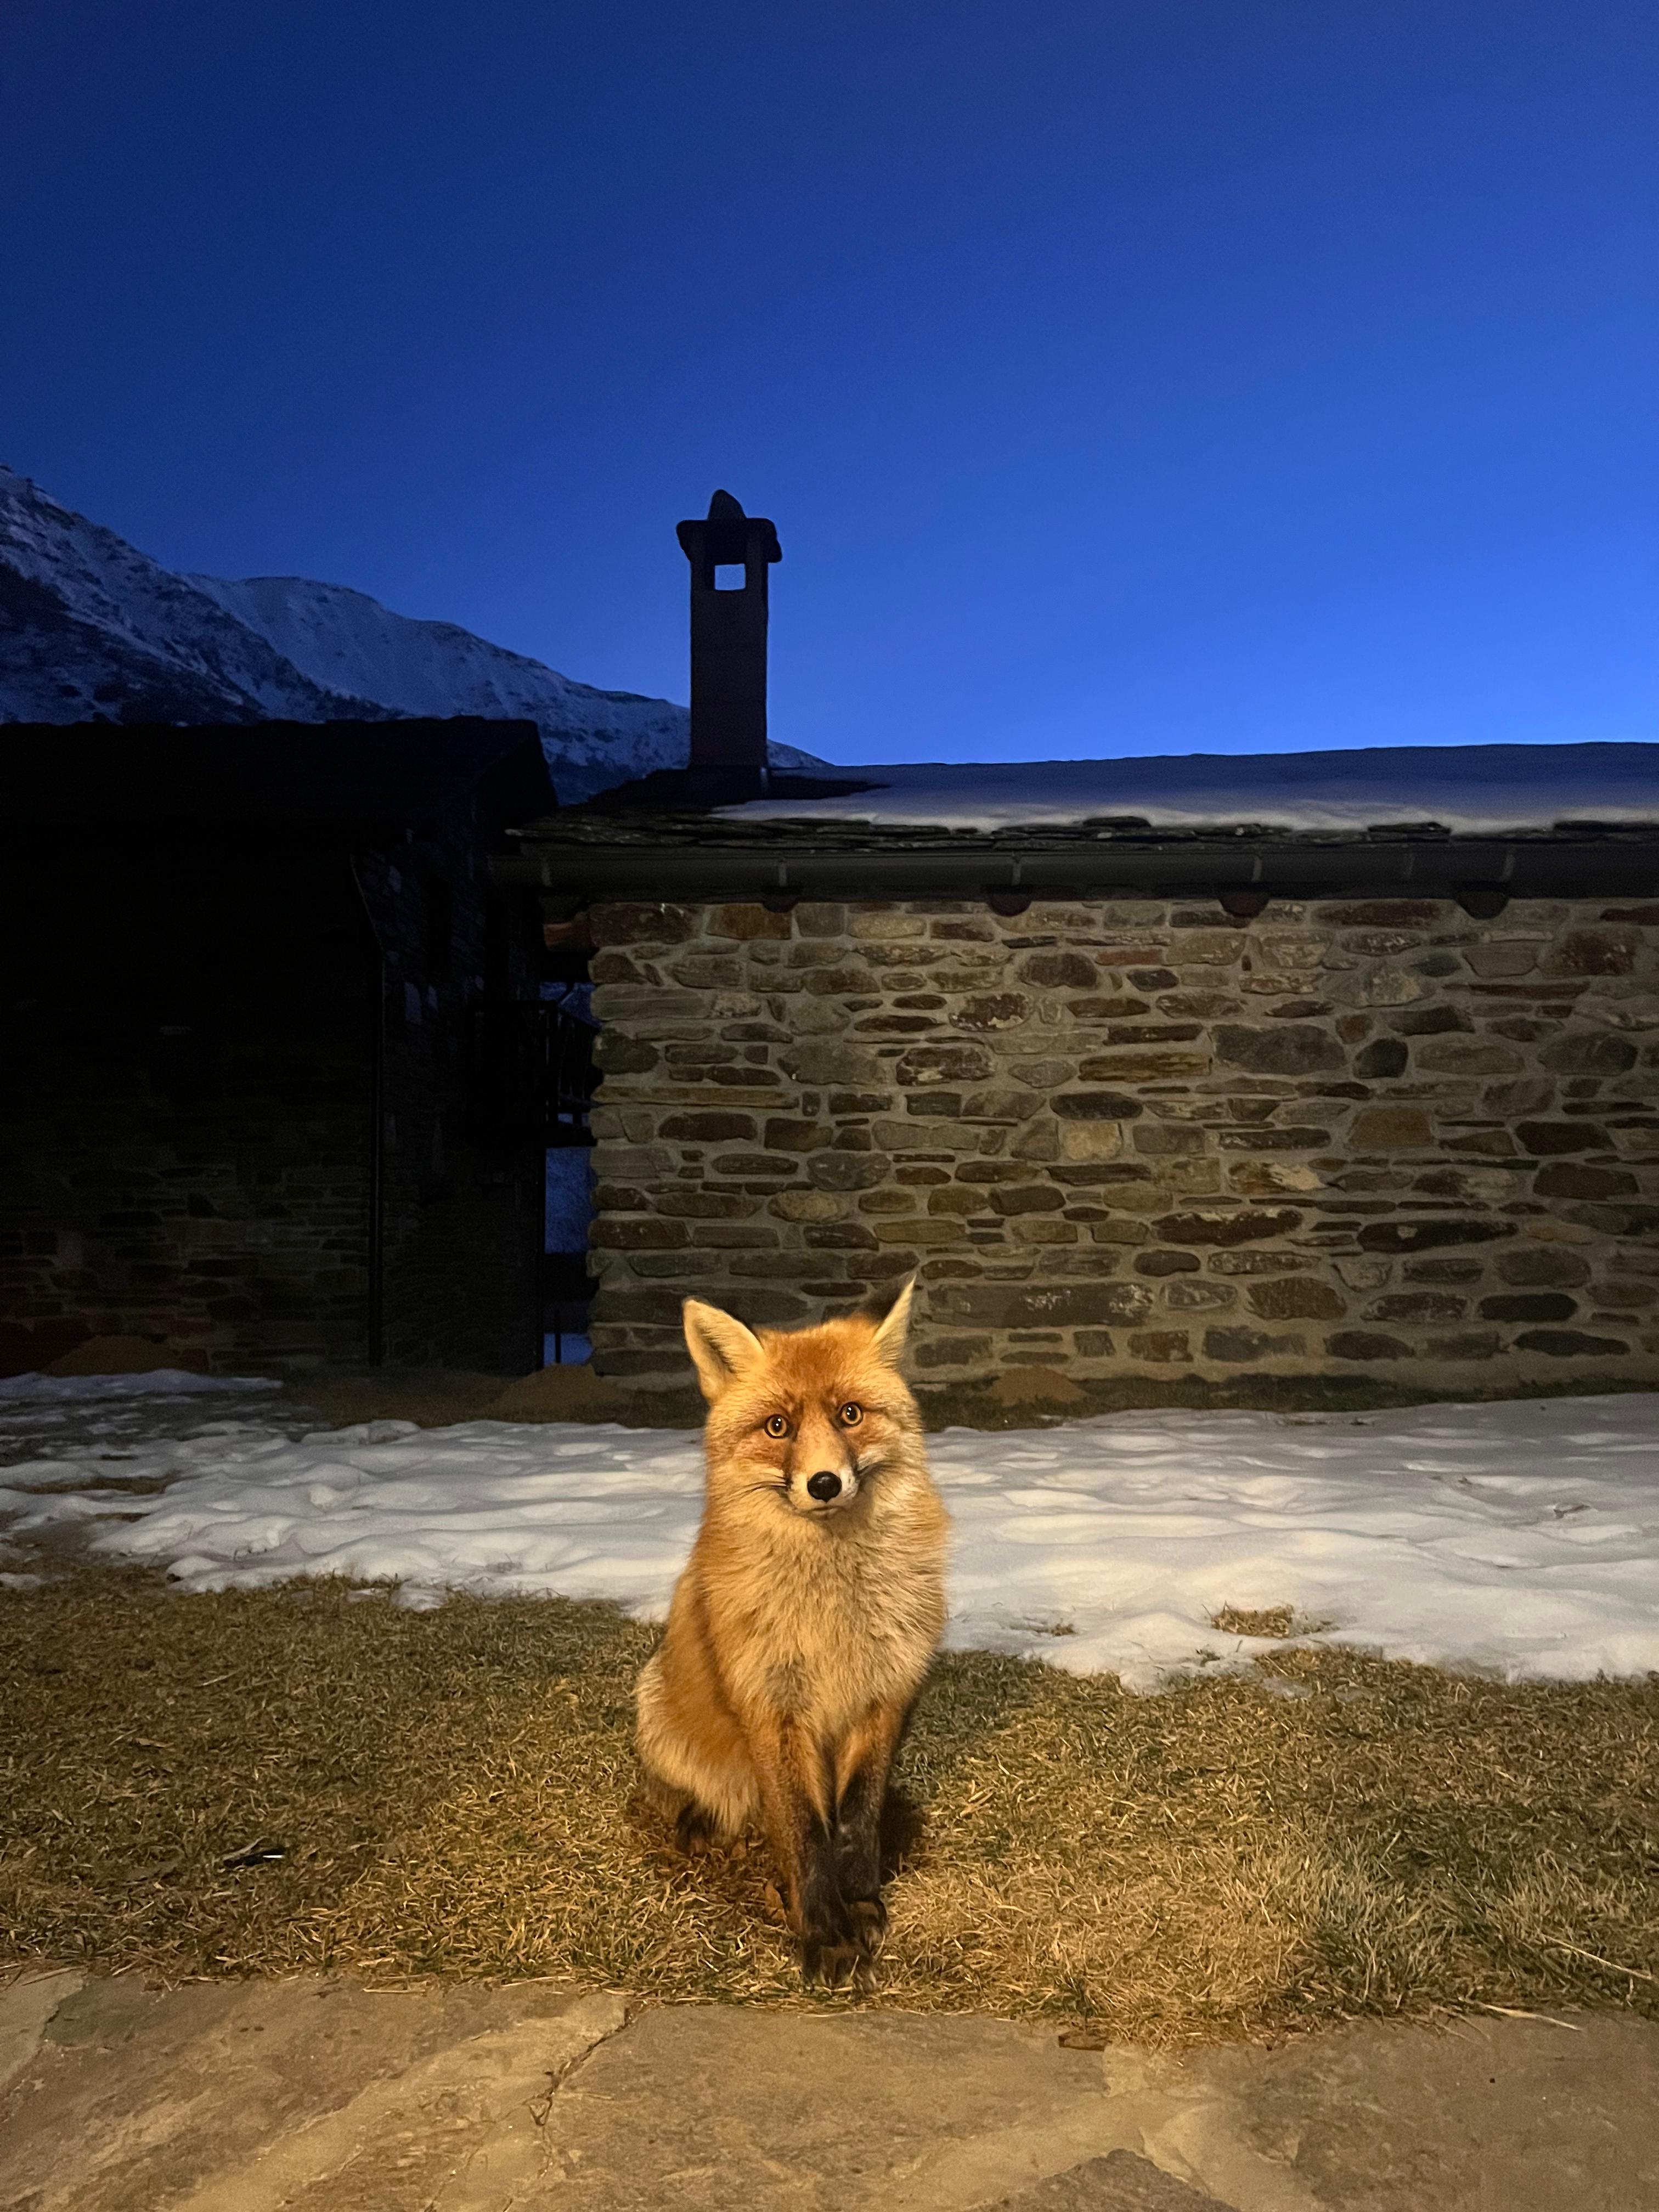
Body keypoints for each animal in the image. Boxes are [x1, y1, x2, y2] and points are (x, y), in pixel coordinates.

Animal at [634, 1277, 948, 1986]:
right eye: (778, 1426)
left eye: (850, 1415)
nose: (825, 1483)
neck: (832, 1610)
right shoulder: (772, 1706)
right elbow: (804, 1836)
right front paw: (825, 1937)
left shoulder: (886, 1693)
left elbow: (855, 1822)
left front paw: (861, 1904)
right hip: (658, 1709)